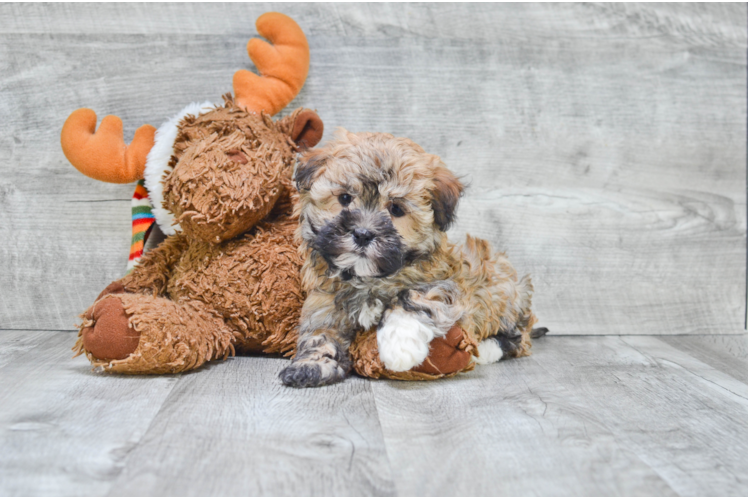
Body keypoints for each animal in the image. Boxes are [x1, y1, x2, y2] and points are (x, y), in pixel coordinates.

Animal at [282, 131, 544, 388]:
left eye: (396, 209)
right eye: (345, 198)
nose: (363, 234)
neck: (367, 277)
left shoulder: (450, 283)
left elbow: (413, 297)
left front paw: (399, 346)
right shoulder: (324, 302)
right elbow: (319, 334)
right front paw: (311, 364)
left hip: (502, 293)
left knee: (517, 338)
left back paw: (486, 350)